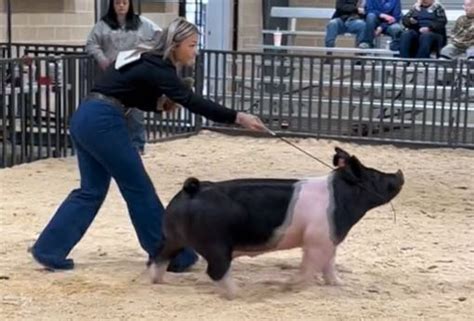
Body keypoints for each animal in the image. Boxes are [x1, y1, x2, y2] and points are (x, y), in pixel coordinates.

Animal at [148, 147, 404, 298]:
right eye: (375, 175)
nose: (399, 172)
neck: (340, 198)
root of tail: (192, 189)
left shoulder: (329, 239)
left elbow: (329, 265)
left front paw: (338, 284)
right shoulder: (317, 240)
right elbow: (310, 266)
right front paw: (290, 286)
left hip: (173, 237)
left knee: (159, 257)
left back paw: (157, 281)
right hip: (216, 244)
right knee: (215, 271)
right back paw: (237, 294)